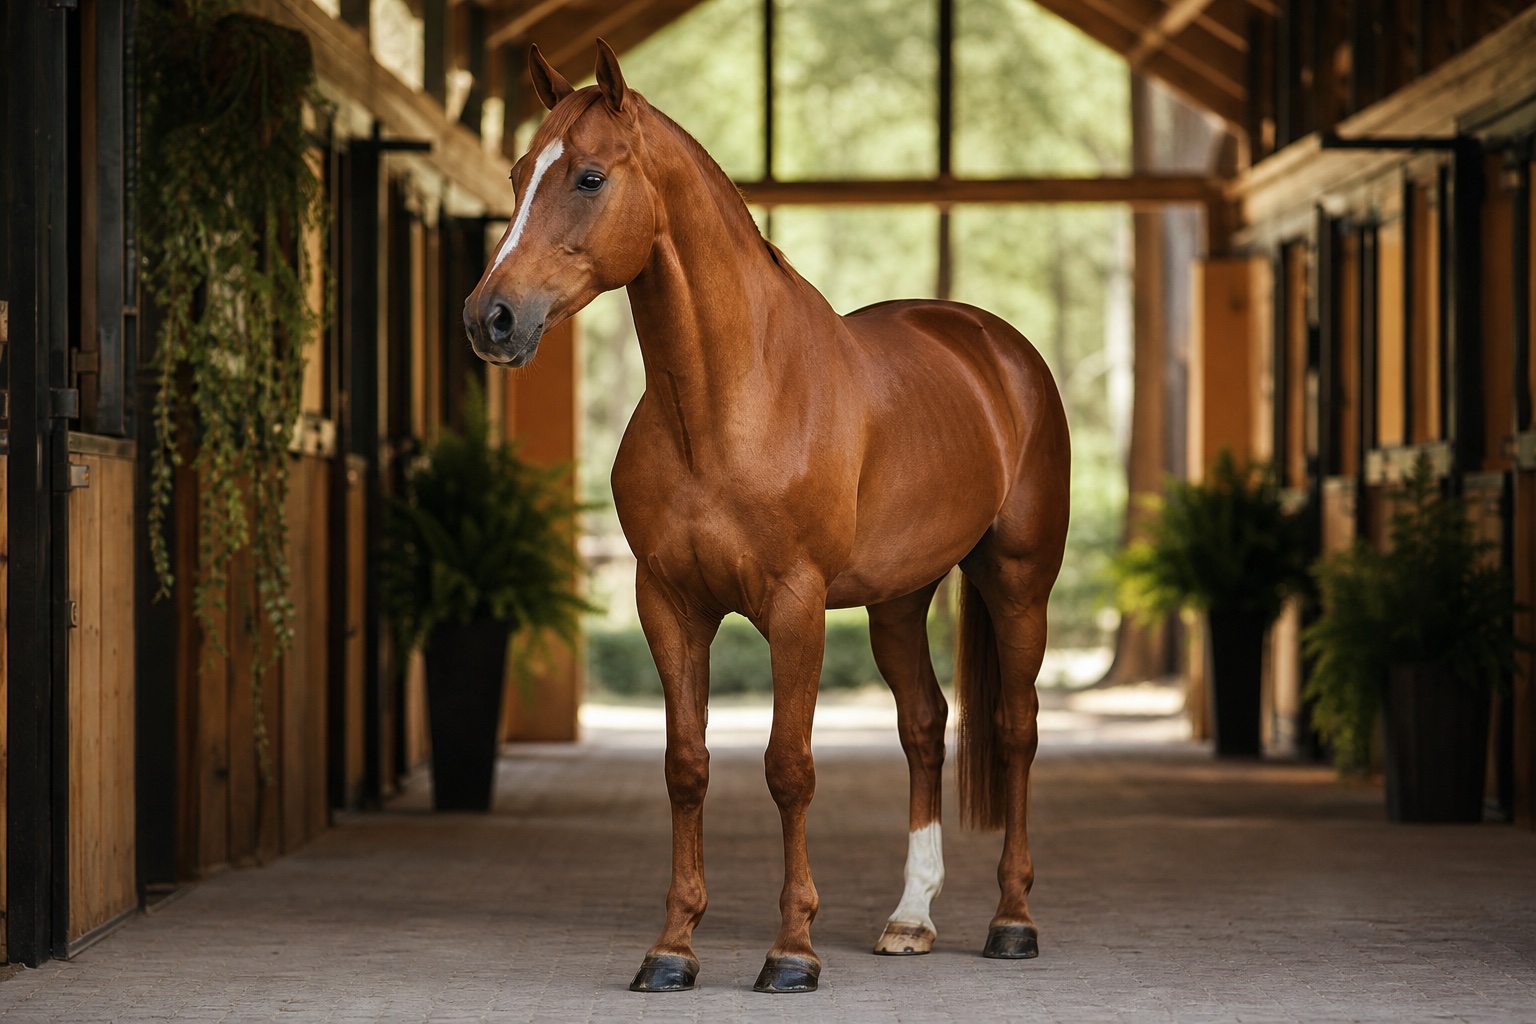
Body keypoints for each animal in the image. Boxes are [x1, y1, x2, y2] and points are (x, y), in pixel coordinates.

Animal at [464, 40, 1070, 995]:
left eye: (590, 176)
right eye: (522, 172)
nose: (489, 318)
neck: (729, 401)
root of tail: (996, 348)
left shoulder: (794, 606)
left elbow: (790, 768)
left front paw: (792, 951)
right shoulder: (669, 605)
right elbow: (686, 766)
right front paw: (672, 948)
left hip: (1017, 584)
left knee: (1014, 729)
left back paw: (1012, 921)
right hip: (899, 598)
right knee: (925, 725)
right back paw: (910, 918)